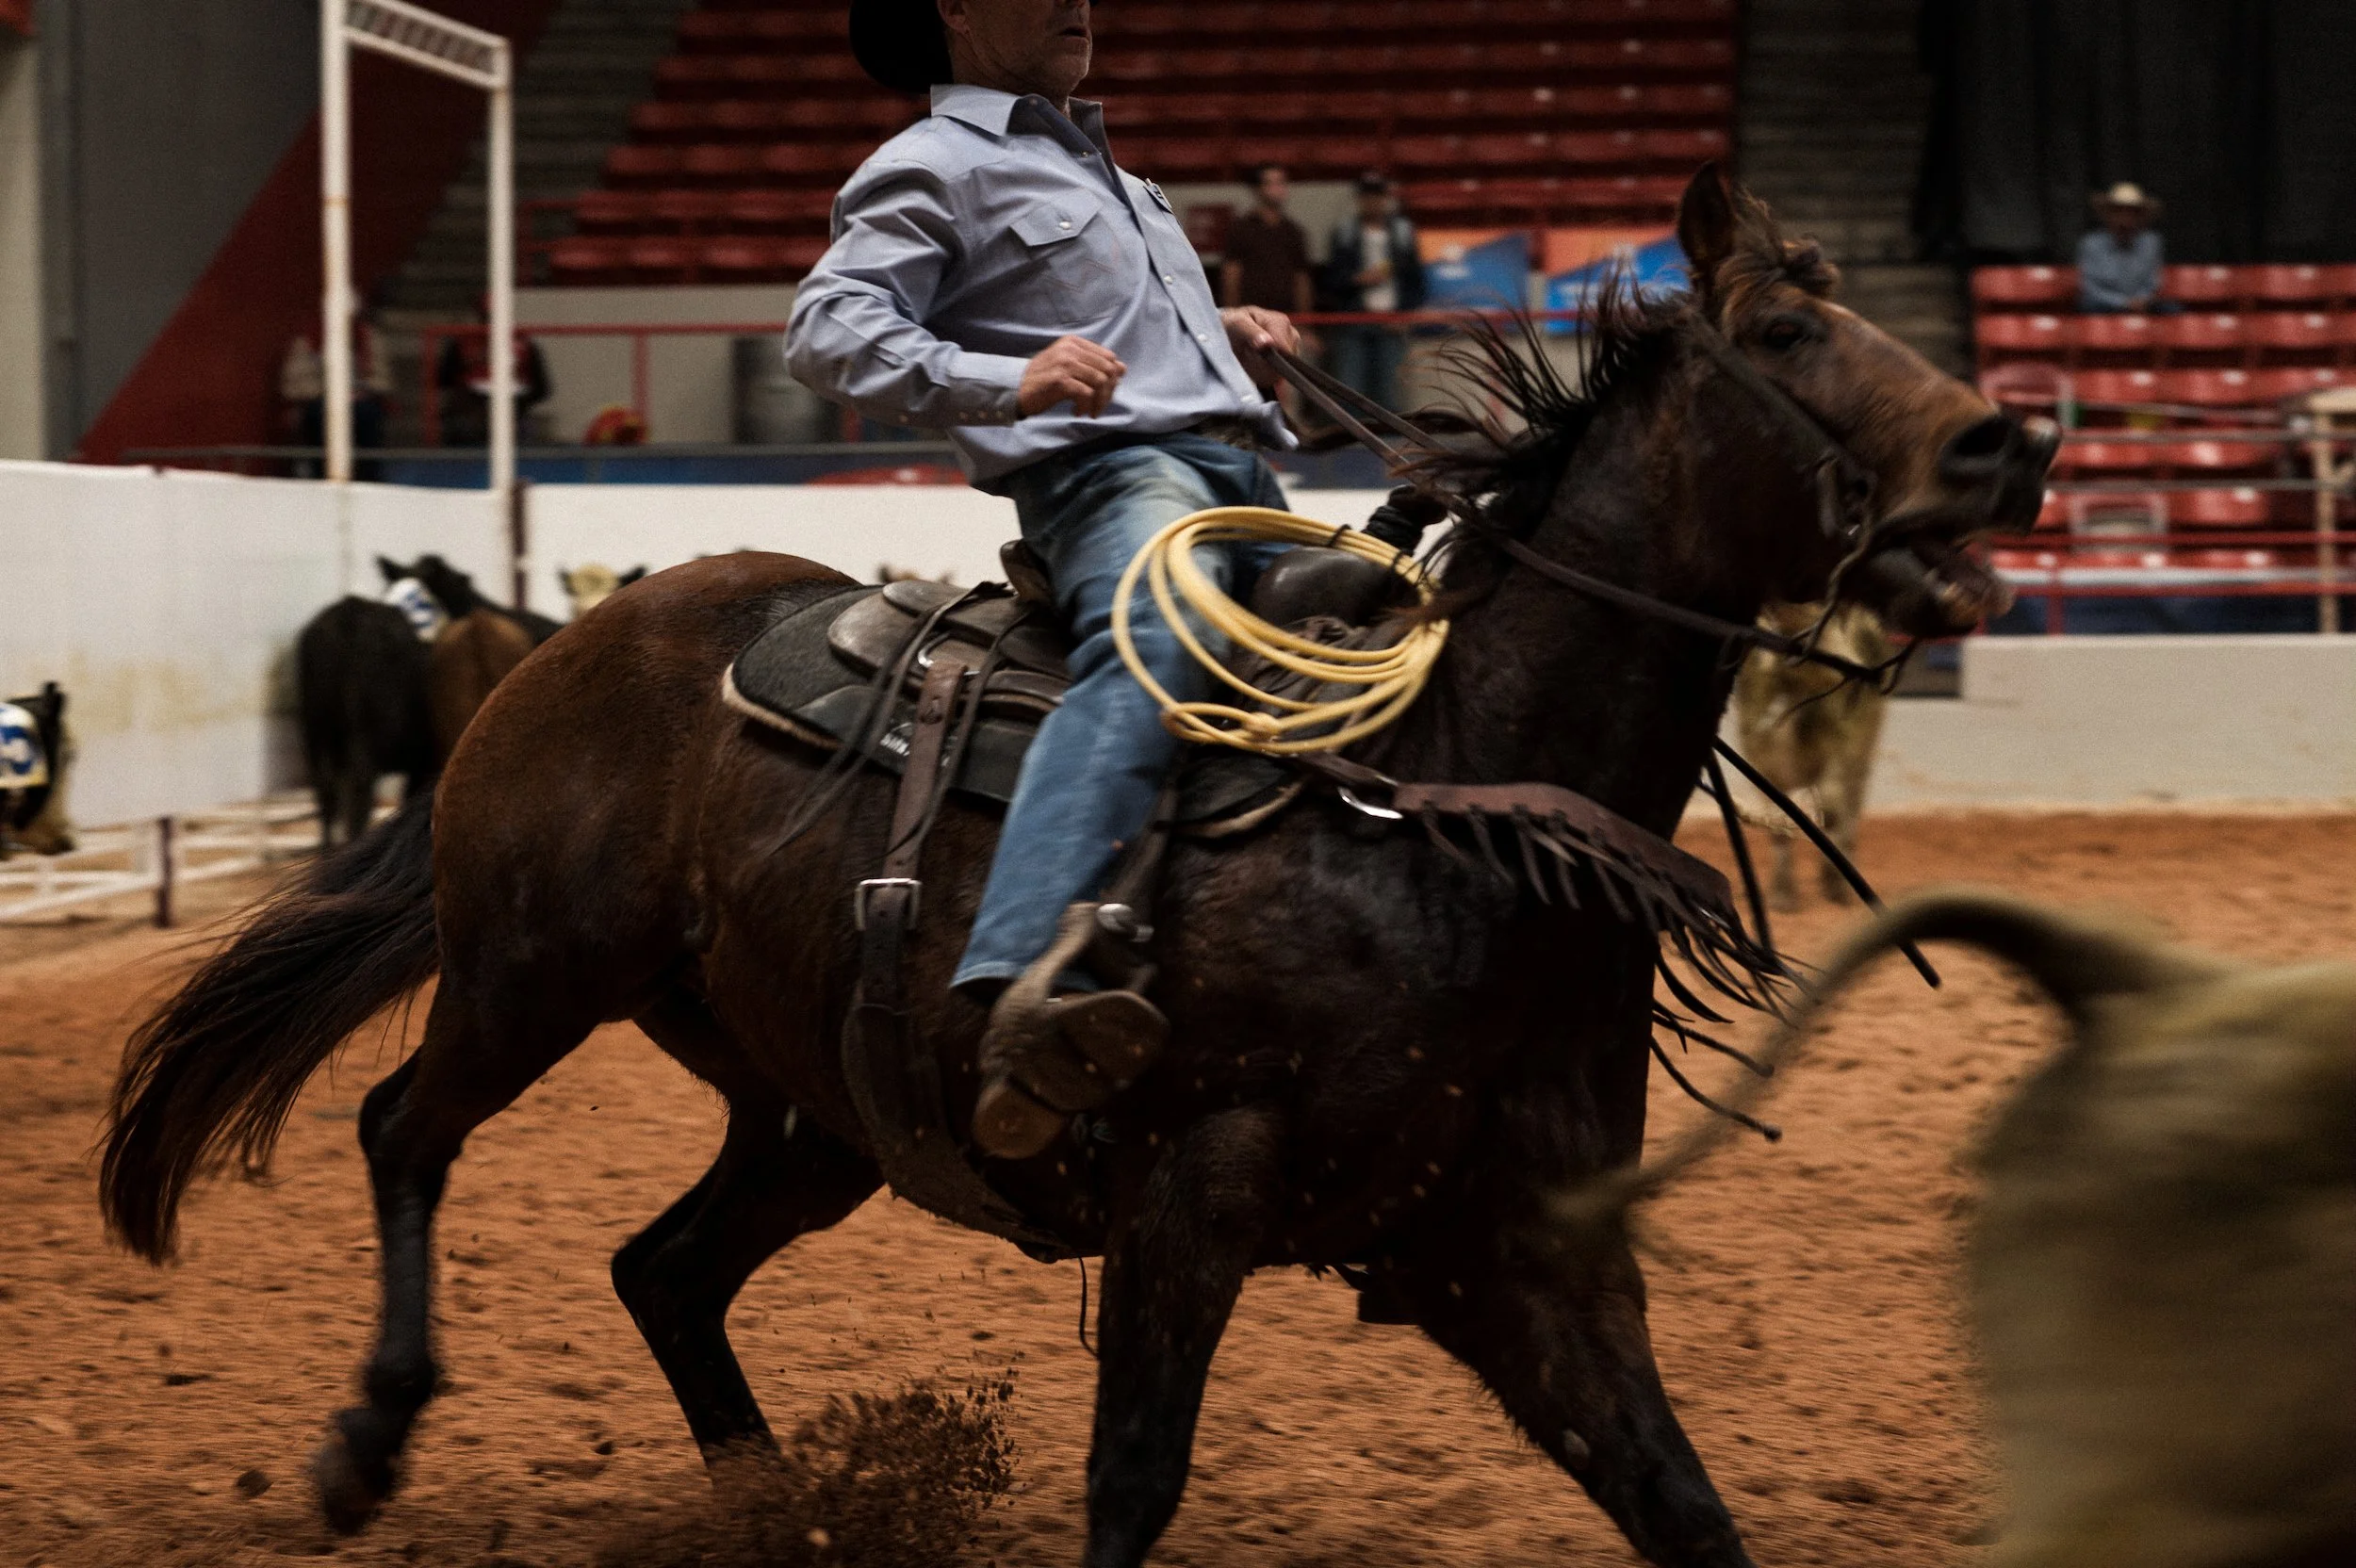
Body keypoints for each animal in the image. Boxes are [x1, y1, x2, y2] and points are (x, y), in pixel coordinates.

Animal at [1730, 602, 1894, 909]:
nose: (1858, 666)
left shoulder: (1842, 744)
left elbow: (1832, 808)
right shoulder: (1760, 757)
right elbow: (1779, 826)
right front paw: (1782, 898)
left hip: (1862, 752)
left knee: (1848, 812)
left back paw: (1839, 887)